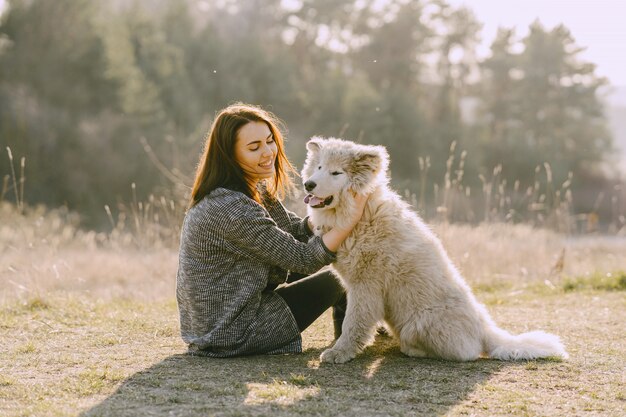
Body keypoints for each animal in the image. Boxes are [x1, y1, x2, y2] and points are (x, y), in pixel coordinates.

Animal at [300, 138, 568, 362]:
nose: (308, 184)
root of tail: (485, 329)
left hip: (419, 324)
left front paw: (339, 352)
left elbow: (353, 323)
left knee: (466, 353)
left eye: (336, 172)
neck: (361, 216)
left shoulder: (365, 286)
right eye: (319, 167)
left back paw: (413, 349)